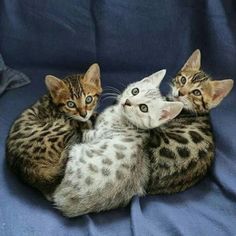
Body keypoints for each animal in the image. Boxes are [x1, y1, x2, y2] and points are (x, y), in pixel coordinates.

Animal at [52, 69, 183, 217]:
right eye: (135, 91)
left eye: (144, 108)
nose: (128, 101)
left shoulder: (95, 134)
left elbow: (86, 129)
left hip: (76, 150)